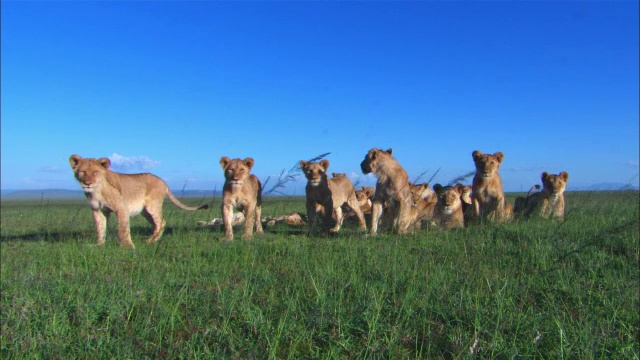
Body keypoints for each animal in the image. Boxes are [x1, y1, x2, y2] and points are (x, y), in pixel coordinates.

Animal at [69, 155, 208, 248]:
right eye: (82, 172)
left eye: (95, 172)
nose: (87, 183)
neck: (97, 191)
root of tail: (163, 181)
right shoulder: (98, 210)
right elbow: (100, 228)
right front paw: (99, 245)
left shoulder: (122, 208)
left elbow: (123, 229)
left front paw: (127, 247)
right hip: (145, 212)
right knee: (159, 223)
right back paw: (154, 240)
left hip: (152, 206)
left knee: (161, 222)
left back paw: (150, 241)